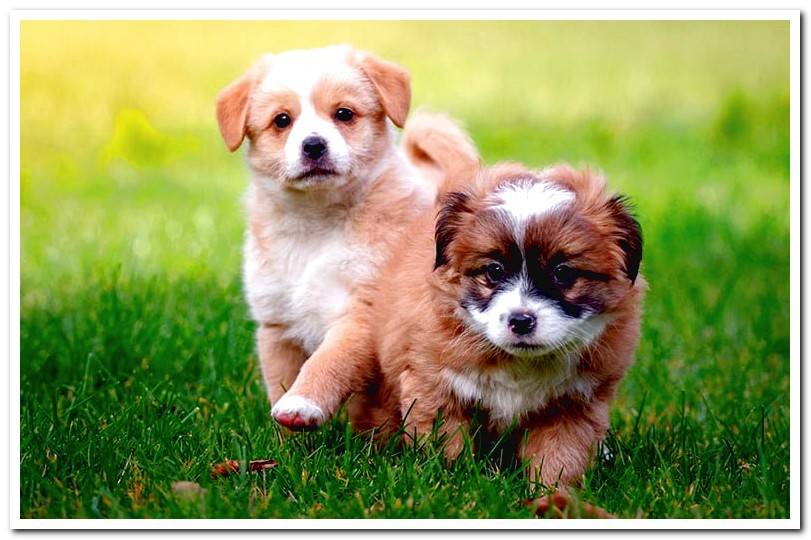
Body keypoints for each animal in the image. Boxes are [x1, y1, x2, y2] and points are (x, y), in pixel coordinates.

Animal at [217, 44, 482, 426]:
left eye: (343, 114)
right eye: (282, 120)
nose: (313, 145)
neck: (316, 226)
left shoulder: (362, 314)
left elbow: (328, 362)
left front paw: (302, 403)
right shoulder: (277, 326)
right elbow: (280, 383)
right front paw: (282, 437)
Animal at [348, 162, 648, 488]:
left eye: (563, 273)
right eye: (494, 270)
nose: (521, 321)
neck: (517, 363)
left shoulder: (573, 406)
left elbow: (560, 457)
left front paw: (553, 493)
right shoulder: (434, 387)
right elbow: (447, 446)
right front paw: (453, 482)